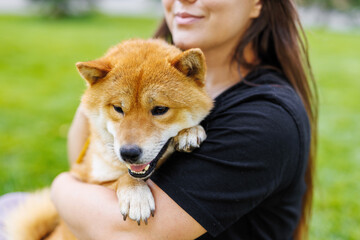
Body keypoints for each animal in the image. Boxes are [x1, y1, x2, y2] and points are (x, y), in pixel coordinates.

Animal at [3, 38, 214, 239]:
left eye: (160, 109)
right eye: (118, 108)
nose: (128, 153)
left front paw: (190, 131)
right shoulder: (84, 179)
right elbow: (119, 180)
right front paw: (135, 195)